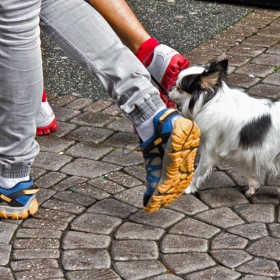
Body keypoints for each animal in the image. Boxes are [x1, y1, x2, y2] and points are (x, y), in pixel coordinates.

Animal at [168, 55, 280, 196]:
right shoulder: (245, 152)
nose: (170, 88)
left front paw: (188, 188)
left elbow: (199, 171)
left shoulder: (209, 150)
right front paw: (253, 187)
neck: (210, 102)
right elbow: (249, 172)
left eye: (179, 88)